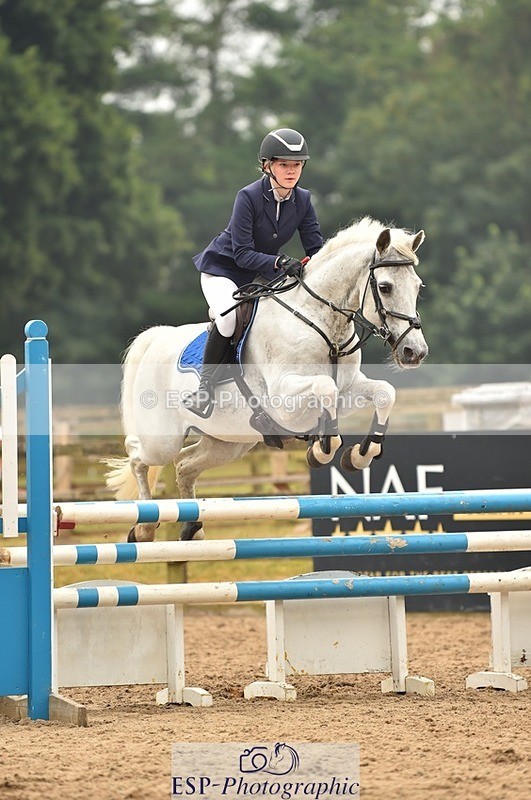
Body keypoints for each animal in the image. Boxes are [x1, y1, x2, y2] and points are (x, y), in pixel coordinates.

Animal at [105, 217, 428, 543]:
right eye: (385, 287)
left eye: (417, 287)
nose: (415, 352)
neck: (323, 324)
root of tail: (156, 337)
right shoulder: (283, 400)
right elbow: (325, 389)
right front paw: (321, 449)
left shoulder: (349, 389)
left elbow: (384, 392)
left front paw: (361, 455)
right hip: (162, 439)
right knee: (138, 458)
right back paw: (144, 528)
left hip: (229, 441)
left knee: (185, 465)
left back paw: (192, 527)